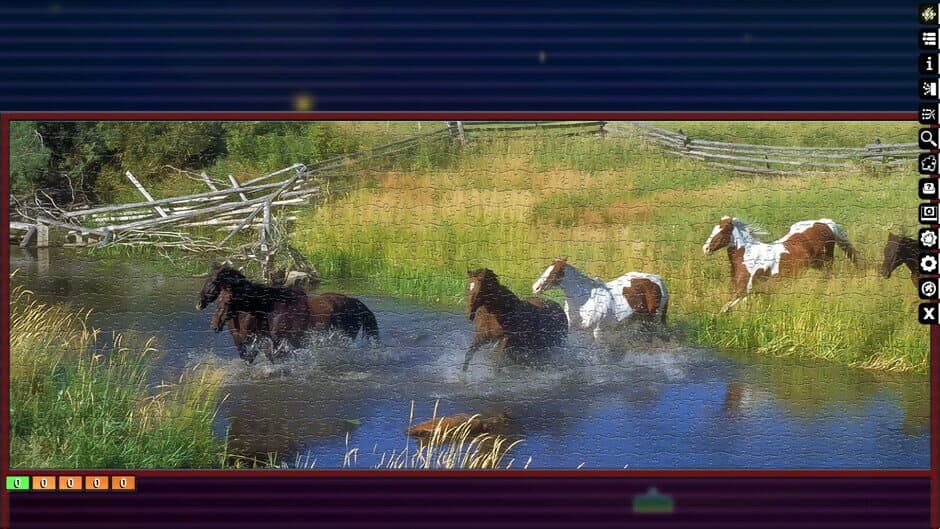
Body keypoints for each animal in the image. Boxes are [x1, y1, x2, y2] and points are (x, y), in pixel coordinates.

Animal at [531, 258, 668, 344]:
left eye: (555, 272)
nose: (535, 288)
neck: (583, 300)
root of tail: (658, 280)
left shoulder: (597, 331)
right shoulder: (575, 329)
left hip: (651, 320)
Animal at [702, 216, 859, 312]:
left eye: (722, 231)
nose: (705, 248)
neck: (748, 257)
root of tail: (824, 223)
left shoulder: (744, 290)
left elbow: (727, 307)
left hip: (826, 264)